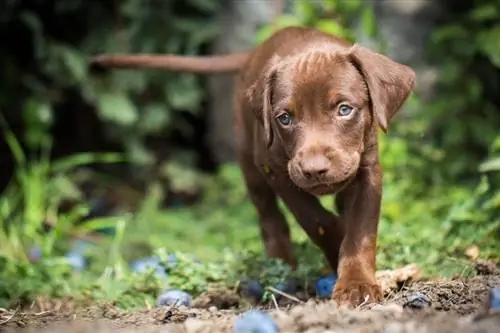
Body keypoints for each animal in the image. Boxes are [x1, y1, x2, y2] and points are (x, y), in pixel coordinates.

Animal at [89, 26, 414, 306]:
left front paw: (356, 283)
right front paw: (336, 241)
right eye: (285, 118)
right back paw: (280, 266)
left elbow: (360, 231)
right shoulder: (278, 171)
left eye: (345, 109)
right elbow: (314, 219)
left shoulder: (368, 170)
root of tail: (250, 55)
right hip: (250, 164)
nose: (314, 169)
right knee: (270, 219)